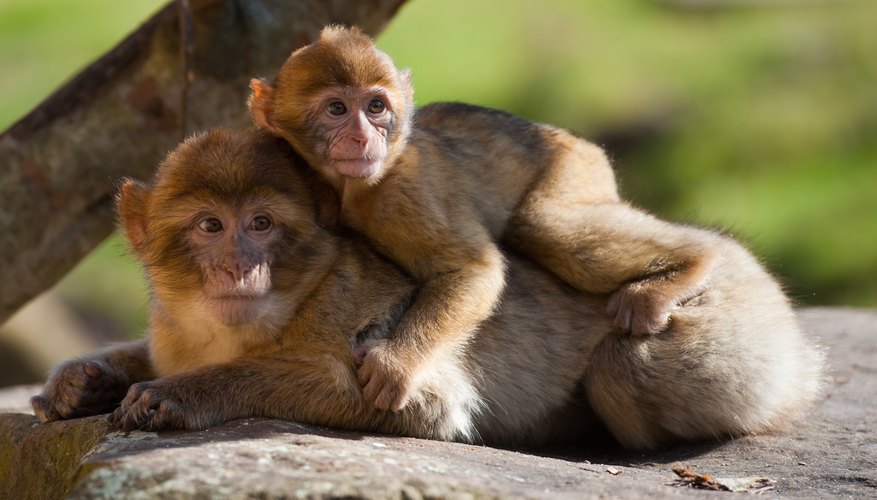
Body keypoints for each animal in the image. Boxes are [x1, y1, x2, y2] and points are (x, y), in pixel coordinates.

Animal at [246, 25, 720, 412]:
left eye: (376, 107)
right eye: (337, 109)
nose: (363, 137)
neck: (348, 189)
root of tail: (565, 136)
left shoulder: (404, 192)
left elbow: (473, 268)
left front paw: (398, 363)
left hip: (576, 168)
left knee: (539, 222)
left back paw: (695, 258)